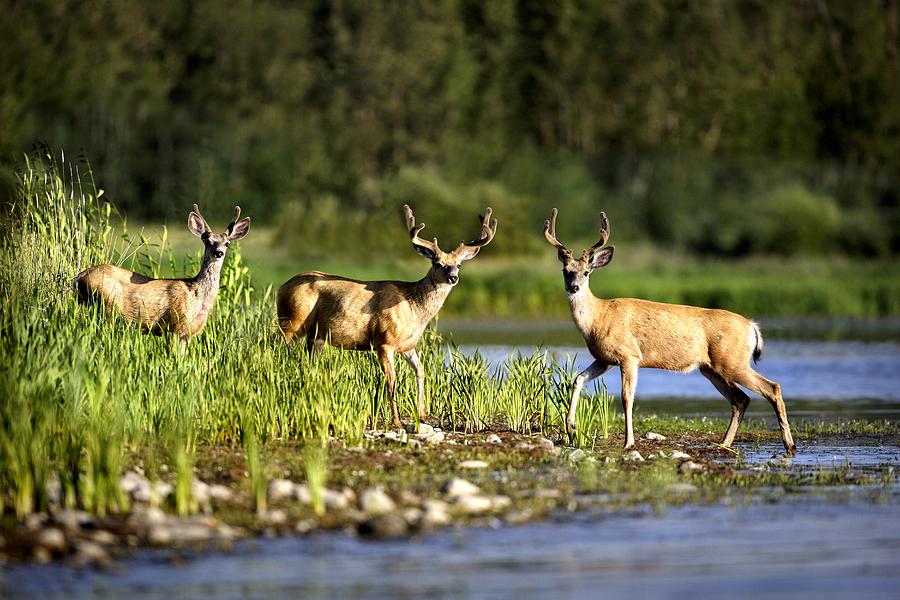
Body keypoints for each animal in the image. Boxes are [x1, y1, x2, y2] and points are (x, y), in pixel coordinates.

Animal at [71, 205, 250, 342]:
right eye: (207, 240)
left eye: (227, 243)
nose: (218, 252)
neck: (197, 296)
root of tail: (77, 278)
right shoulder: (174, 327)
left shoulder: (186, 335)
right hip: (105, 304)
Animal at [276, 204, 496, 428]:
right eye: (437, 263)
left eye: (458, 264)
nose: (453, 277)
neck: (413, 307)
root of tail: (281, 286)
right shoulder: (384, 341)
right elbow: (392, 381)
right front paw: (397, 422)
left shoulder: (407, 345)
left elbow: (421, 371)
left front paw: (422, 415)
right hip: (291, 320)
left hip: (316, 336)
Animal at [540, 207, 796, 454]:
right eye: (565, 270)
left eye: (586, 272)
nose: (573, 287)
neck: (599, 318)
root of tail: (752, 326)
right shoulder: (604, 359)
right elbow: (577, 380)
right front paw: (571, 429)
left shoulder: (629, 355)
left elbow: (626, 397)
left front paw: (628, 443)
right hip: (711, 368)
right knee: (741, 399)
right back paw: (724, 443)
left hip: (732, 361)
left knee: (772, 388)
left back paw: (789, 445)